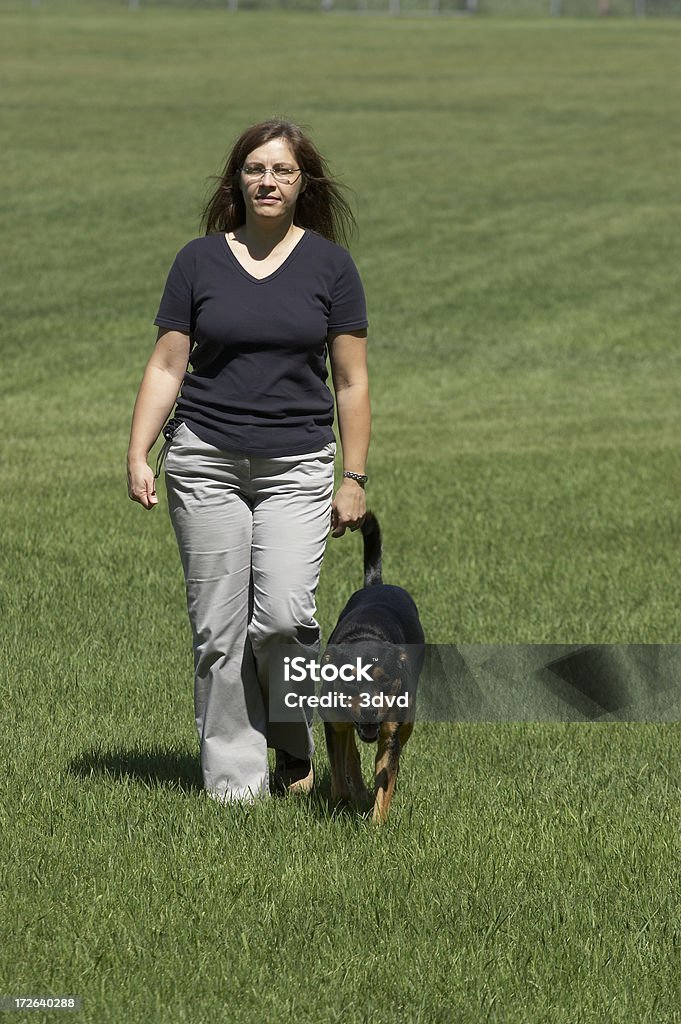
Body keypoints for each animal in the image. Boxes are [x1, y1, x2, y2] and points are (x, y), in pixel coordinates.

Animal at [319, 512, 426, 823]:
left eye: (385, 680)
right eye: (350, 680)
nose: (369, 711)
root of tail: (377, 583)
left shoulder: (388, 732)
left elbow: (385, 778)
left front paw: (377, 824)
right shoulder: (333, 723)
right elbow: (340, 770)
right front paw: (346, 798)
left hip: (407, 715)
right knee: (351, 753)